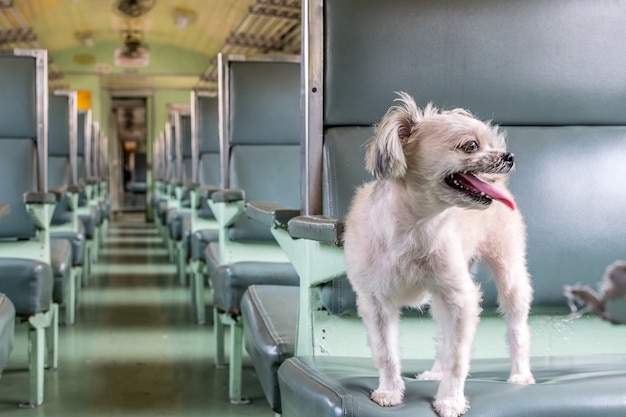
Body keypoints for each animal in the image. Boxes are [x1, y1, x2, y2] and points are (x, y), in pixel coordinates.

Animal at [342, 92, 532, 416]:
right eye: (471, 146)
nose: (509, 157)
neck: (415, 227)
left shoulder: (460, 298)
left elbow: (458, 357)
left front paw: (450, 399)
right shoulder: (375, 302)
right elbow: (386, 353)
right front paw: (389, 391)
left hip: (508, 275)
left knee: (516, 329)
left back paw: (521, 374)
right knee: (444, 334)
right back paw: (436, 372)